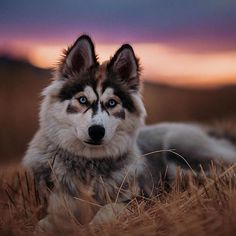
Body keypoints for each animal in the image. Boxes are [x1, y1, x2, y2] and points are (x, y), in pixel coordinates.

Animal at [22, 35, 236, 227]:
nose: (96, 131)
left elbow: (107, 210)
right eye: (82, 99)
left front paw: (93, 227)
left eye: (112, 103)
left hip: (182, 145)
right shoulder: (58, 202)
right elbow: (44, 223)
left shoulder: (141, 199)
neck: (89, 164)